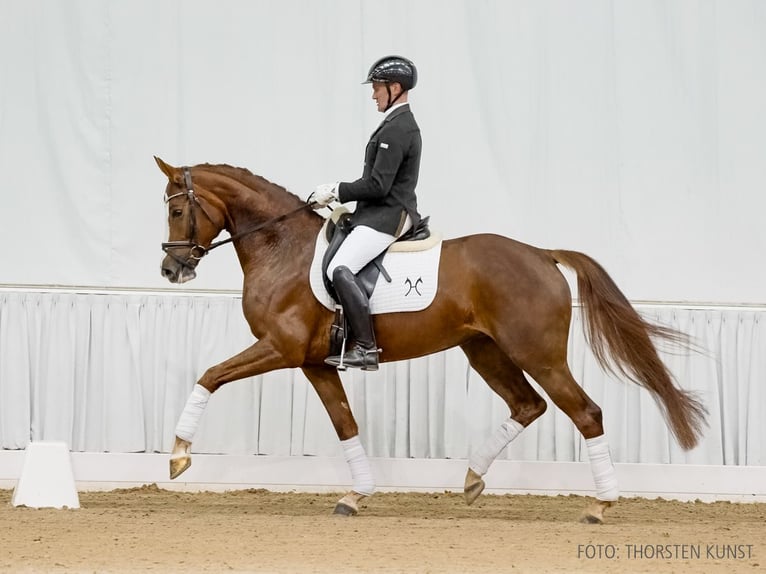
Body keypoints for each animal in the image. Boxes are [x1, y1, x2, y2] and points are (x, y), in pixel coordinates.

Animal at [156, 159, 708, 528]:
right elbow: (345, 423)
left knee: (585, 412)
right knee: (527, 406)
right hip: (484, 351)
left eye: (178, 209)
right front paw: (356, 495)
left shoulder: (281, 349)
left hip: (538, 354)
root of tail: (541, 254)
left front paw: (179, 456)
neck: (281, 248)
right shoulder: (315, 363)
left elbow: (208, 375)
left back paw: (600, 504)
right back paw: (472, 479)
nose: (171, 269)